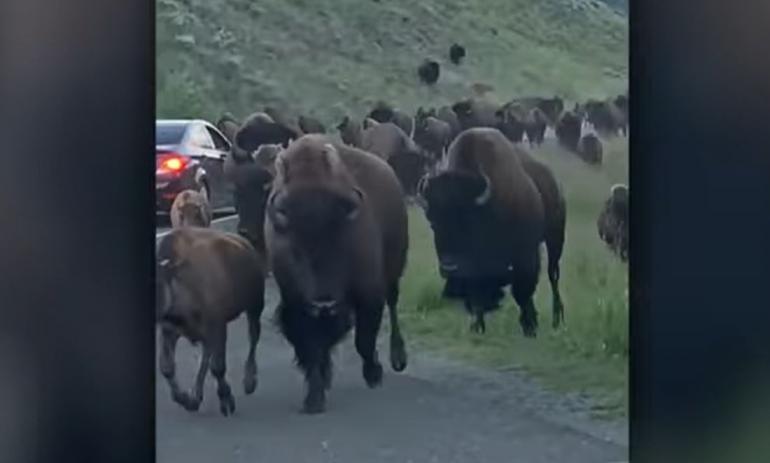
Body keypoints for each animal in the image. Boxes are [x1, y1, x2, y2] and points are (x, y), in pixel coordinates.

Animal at [156, 227, 266, 416]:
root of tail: (245, 244)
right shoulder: (169, 330)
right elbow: (167, 367)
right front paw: (186, 400)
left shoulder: (217, 326)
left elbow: (218, 366)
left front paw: (226, 401)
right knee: (206, 355)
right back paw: (195, 396)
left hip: (255, 306)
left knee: (253, 337)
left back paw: (249, 382)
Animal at [265, 134, 409, 414]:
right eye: (296, 251)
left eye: (341, 243)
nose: (324, 302)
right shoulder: (297, 302)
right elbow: (311, 345)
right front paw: (314, 397)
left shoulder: (369, 294)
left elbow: (364, 339)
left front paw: (374, 374)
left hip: (395, 270)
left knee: (394, 304)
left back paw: (398, 358)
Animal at [418, 128, 566, 337]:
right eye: (433, 223)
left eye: (468, 223)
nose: (449, 267)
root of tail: (553, 182)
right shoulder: (476, 269)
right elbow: (478, 293)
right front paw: (477, 326)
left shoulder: (525, 253)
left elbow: (522, 290)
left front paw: (529, 326)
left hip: (555, 240)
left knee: (553, 276)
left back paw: (556, 318)